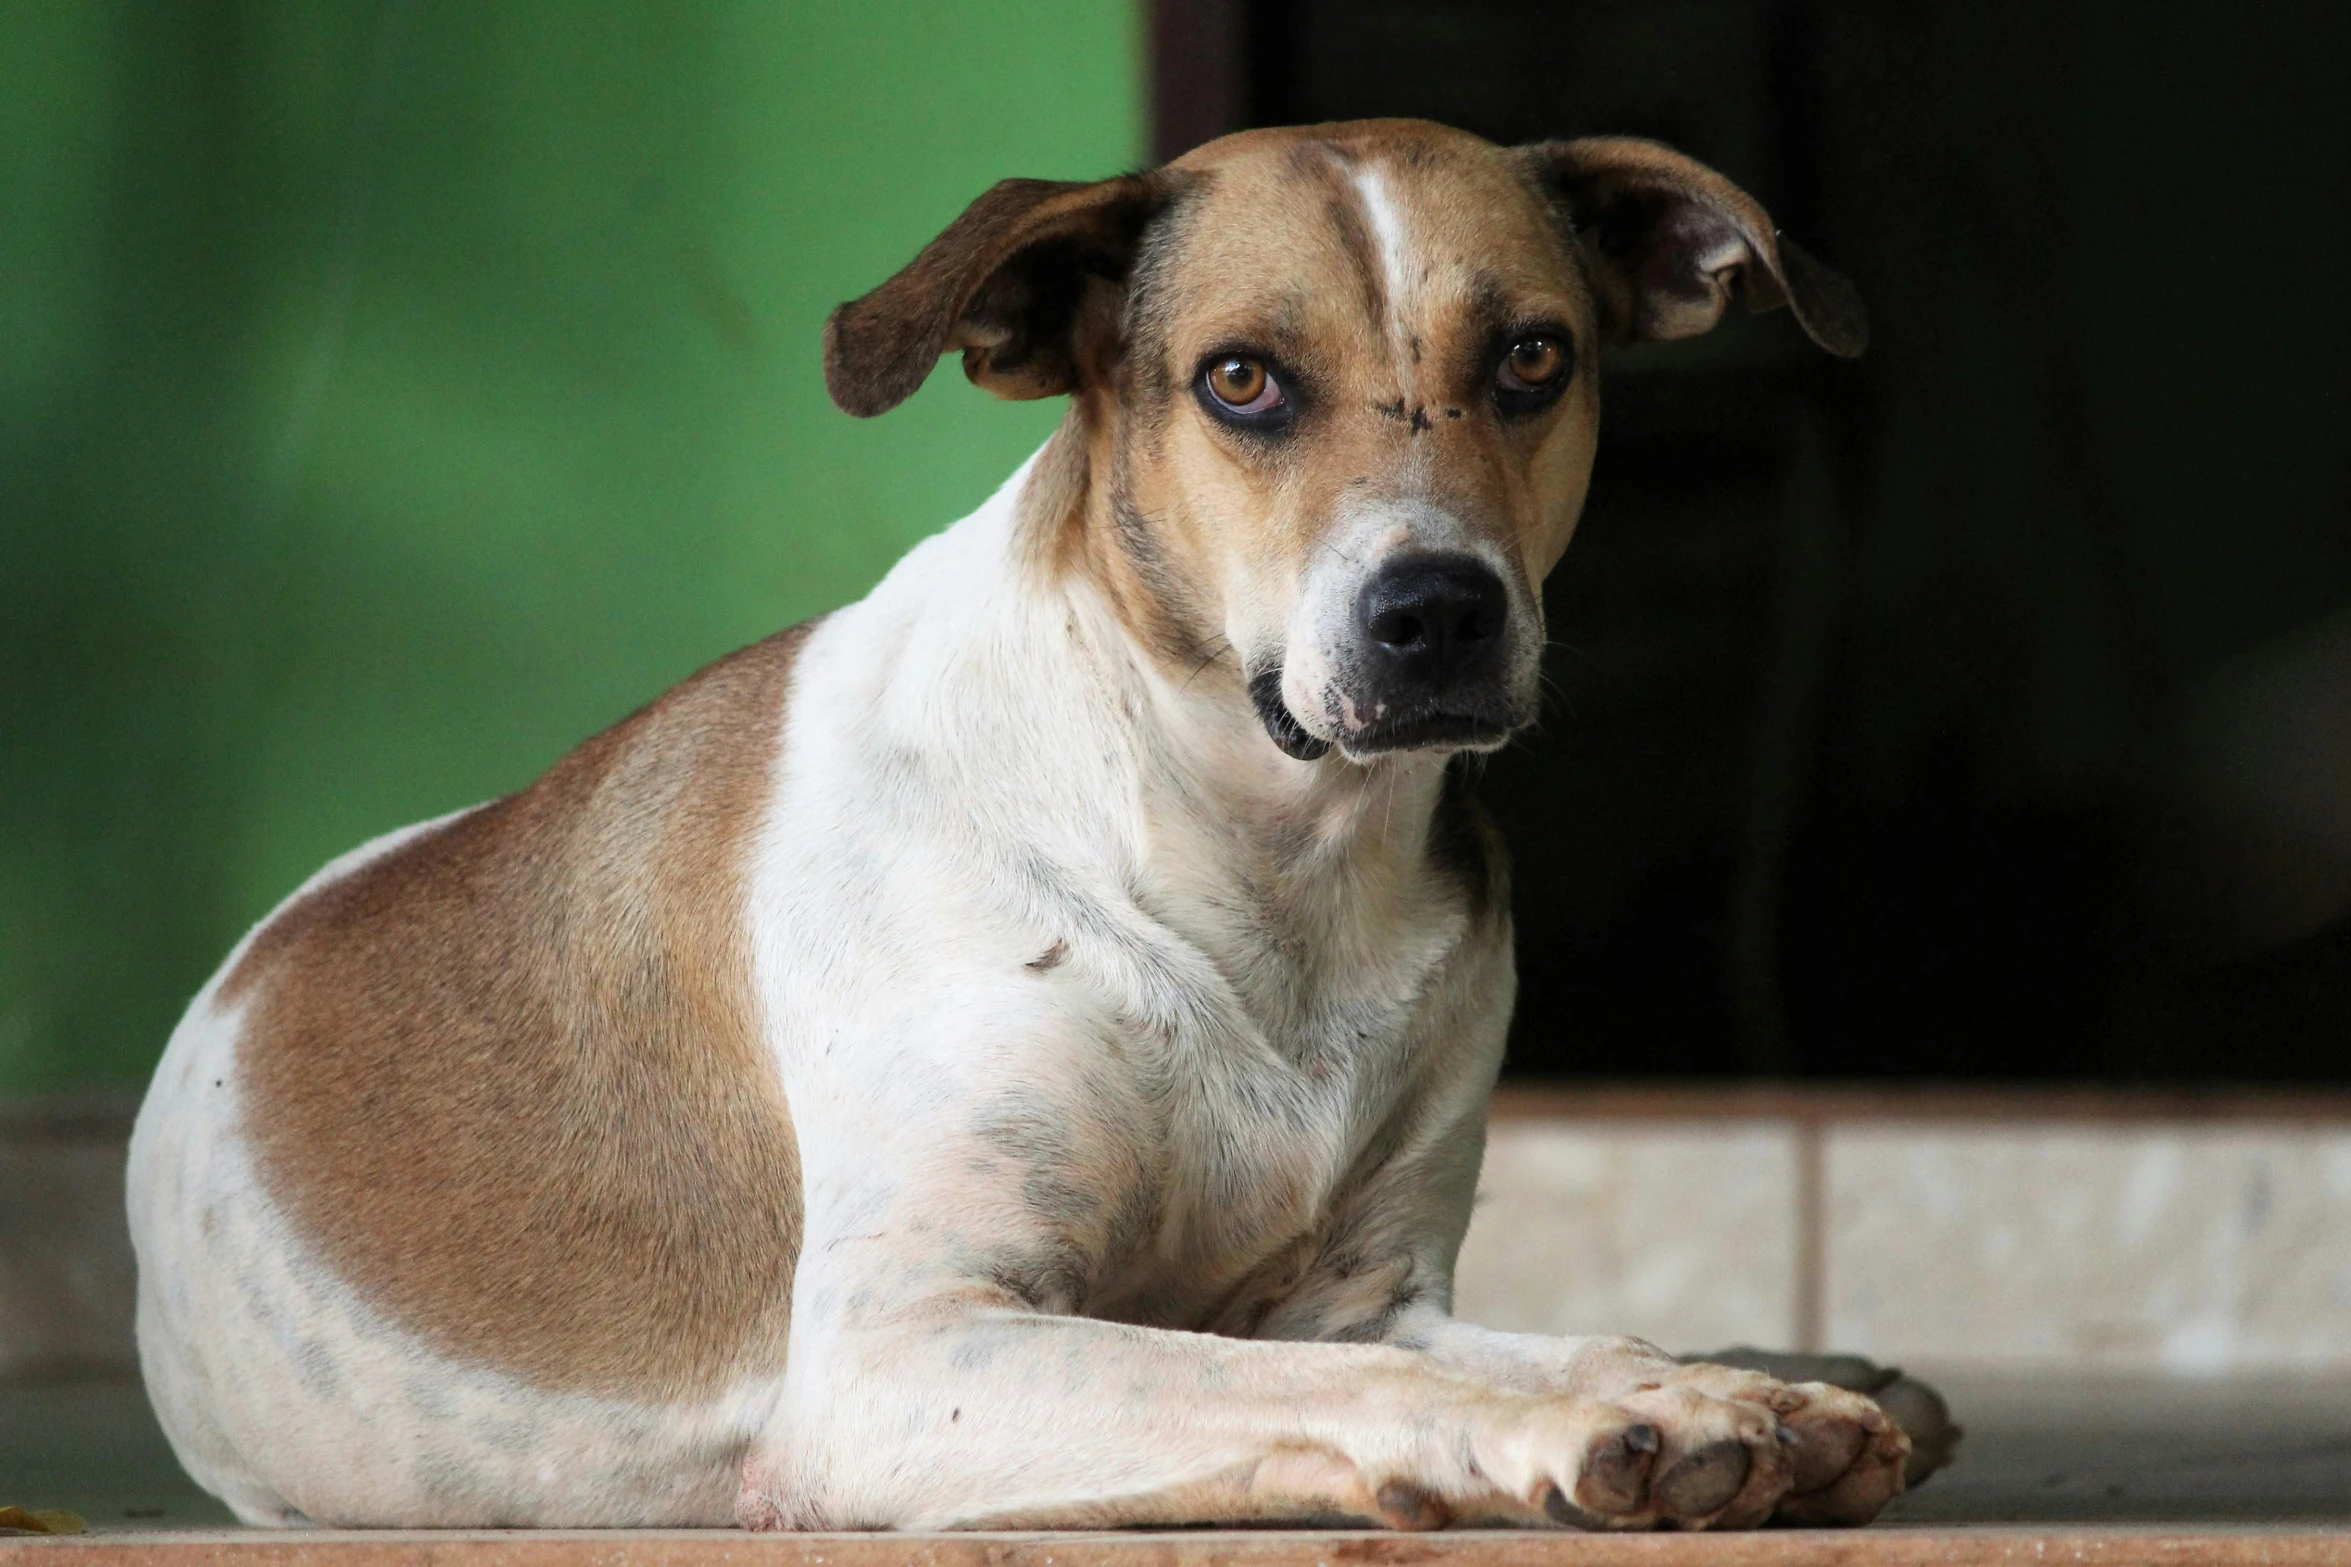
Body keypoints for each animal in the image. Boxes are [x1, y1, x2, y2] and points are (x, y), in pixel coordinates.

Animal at [128, 119, 1909, 1531]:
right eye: (1240, 378)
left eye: (1531, 356)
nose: (1436, 614)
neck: (1252, 855)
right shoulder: (898, 1349)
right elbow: (1269, 1380)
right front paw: (1591, 1415)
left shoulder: (1365, 1293)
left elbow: (1502, 1337)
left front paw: (1696, 1377)